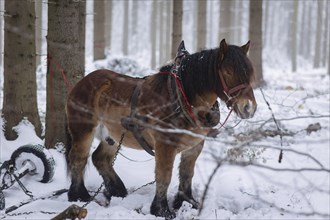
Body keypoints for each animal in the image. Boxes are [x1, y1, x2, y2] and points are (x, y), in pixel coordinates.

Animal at [63, 38, 255, 217]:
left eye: (251, 73)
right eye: (228, 71)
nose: (249, 108)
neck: (181, 99)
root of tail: (81, 82)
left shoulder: (194, 146)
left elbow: (187, 174)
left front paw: (187, 202)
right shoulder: (165, 145)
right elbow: (164, 175)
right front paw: (161, 210)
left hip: (112, 134)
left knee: (100, 158)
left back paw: (118, 191)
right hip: (84, 130)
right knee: (78, 158)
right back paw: (79, 196)